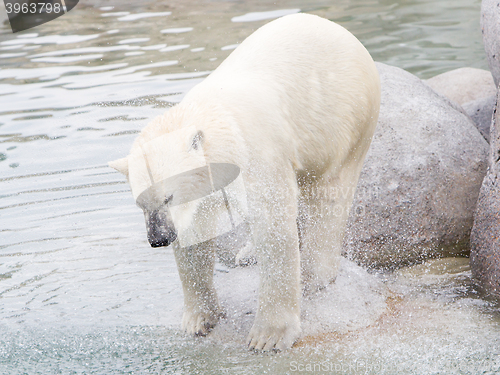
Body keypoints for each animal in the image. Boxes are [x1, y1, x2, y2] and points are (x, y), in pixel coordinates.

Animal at [109, 12, 380, 352]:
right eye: (140, 203)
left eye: (168, 196)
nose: (158, 238)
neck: (212, 120)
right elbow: (195, 236)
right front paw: (198, 320)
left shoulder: (257, 155)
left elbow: (273, 224)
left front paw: (269, 336)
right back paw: (248, 252)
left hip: (344, 120)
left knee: (329, 194)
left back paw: (315, 274)